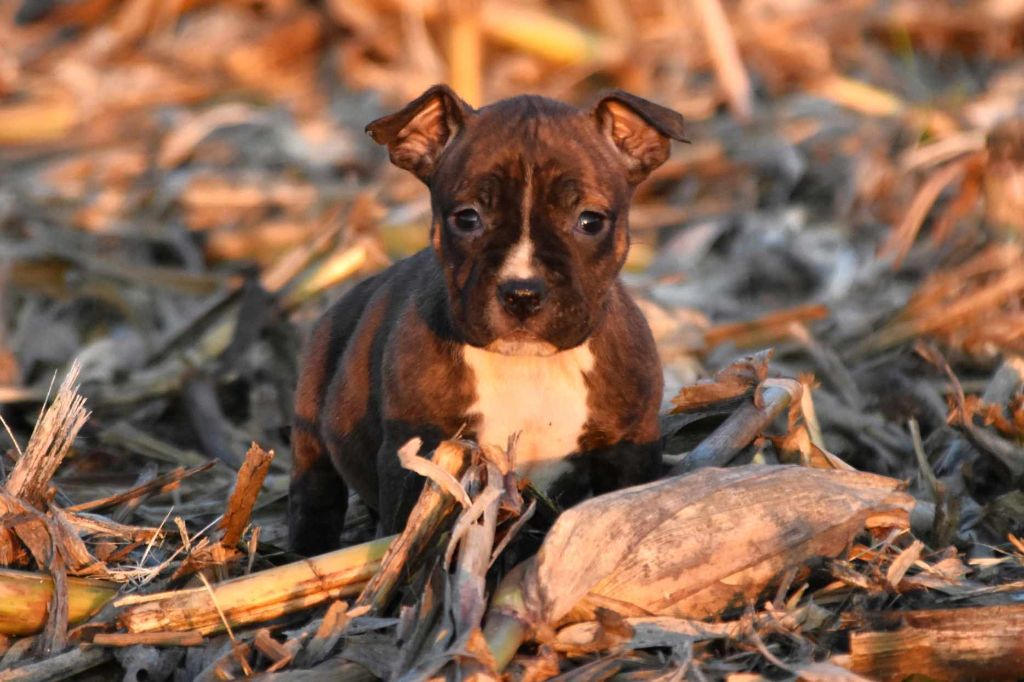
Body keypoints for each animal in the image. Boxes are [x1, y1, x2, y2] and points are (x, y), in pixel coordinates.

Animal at [290, 84, 688, 552]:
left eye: (590, 221)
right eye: (467, 218)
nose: (523, 292)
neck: (529, 367)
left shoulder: (630, 447)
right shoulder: (415, 460)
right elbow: (408, 534)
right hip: (311, 430)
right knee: (315, 496)